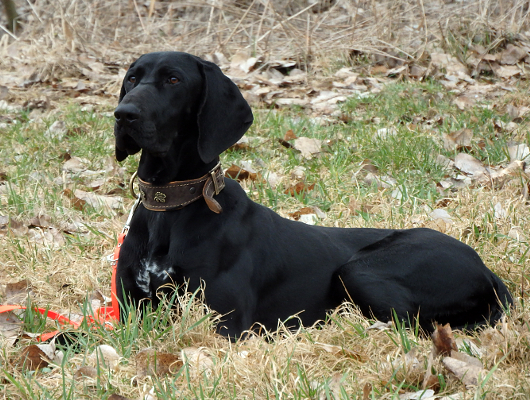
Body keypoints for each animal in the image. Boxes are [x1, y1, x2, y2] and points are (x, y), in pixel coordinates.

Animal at [112, 50, 512, 338]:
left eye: (174, 79)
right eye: (132, 78)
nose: (123, 114)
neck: (171, 205)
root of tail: (486, 269)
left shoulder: (225, 324)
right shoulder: (130, 313)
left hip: (359, 270)